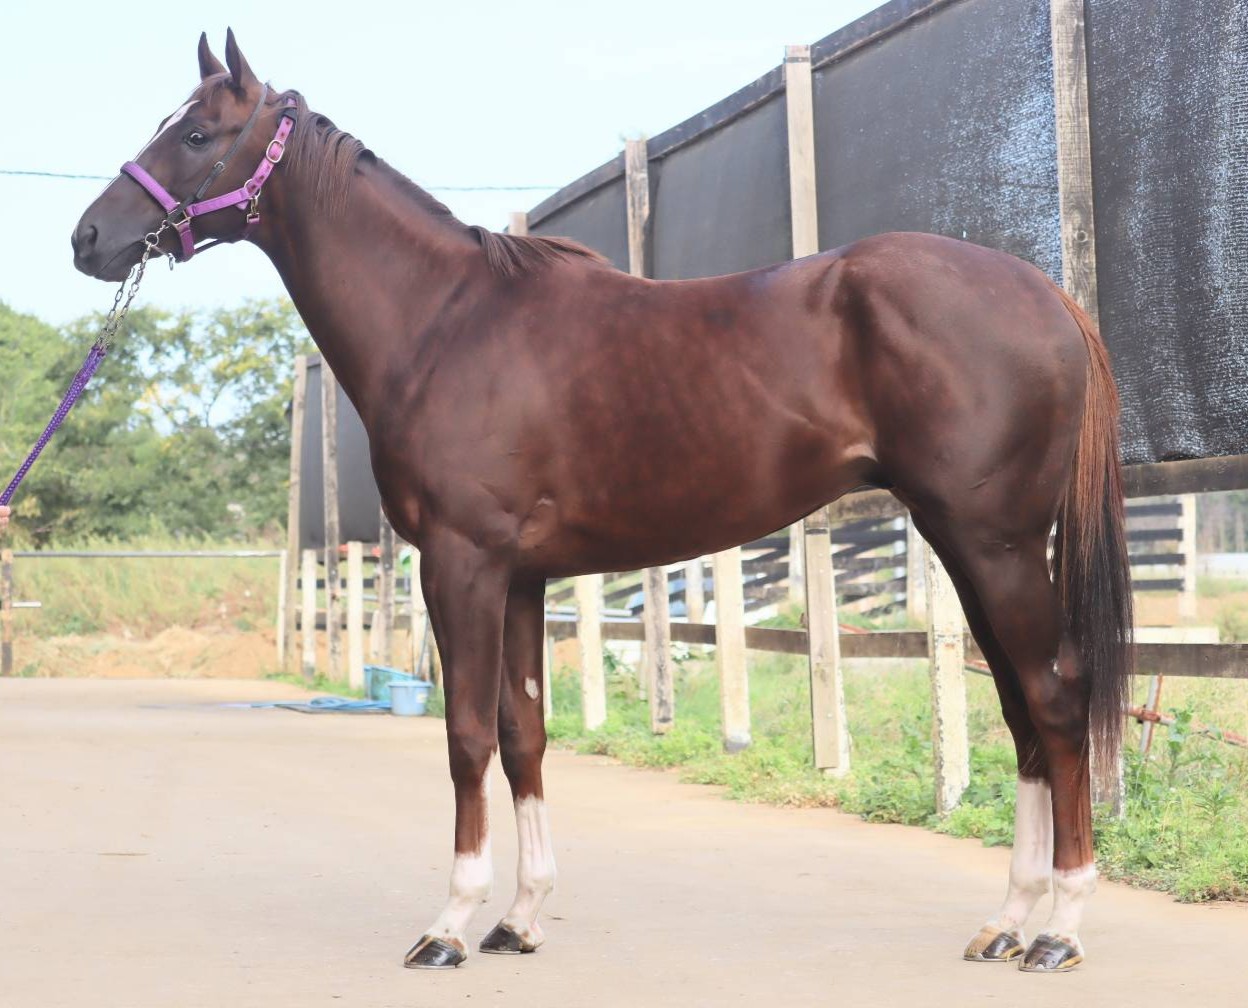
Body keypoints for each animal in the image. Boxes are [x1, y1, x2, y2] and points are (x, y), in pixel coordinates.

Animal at [71, 31, 1132, 974]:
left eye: (197, 134)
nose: (88, 238)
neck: (443, 321)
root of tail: (1046, 295)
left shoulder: (463, 564)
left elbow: (464, 736)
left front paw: (449, 926)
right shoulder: (521, 578)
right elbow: (523, 734)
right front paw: (520, 918)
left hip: (995, 542)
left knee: (1053, 699)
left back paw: (1062, 930)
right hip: (966, 542)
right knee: (1021, 711)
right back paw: (1008, 921)